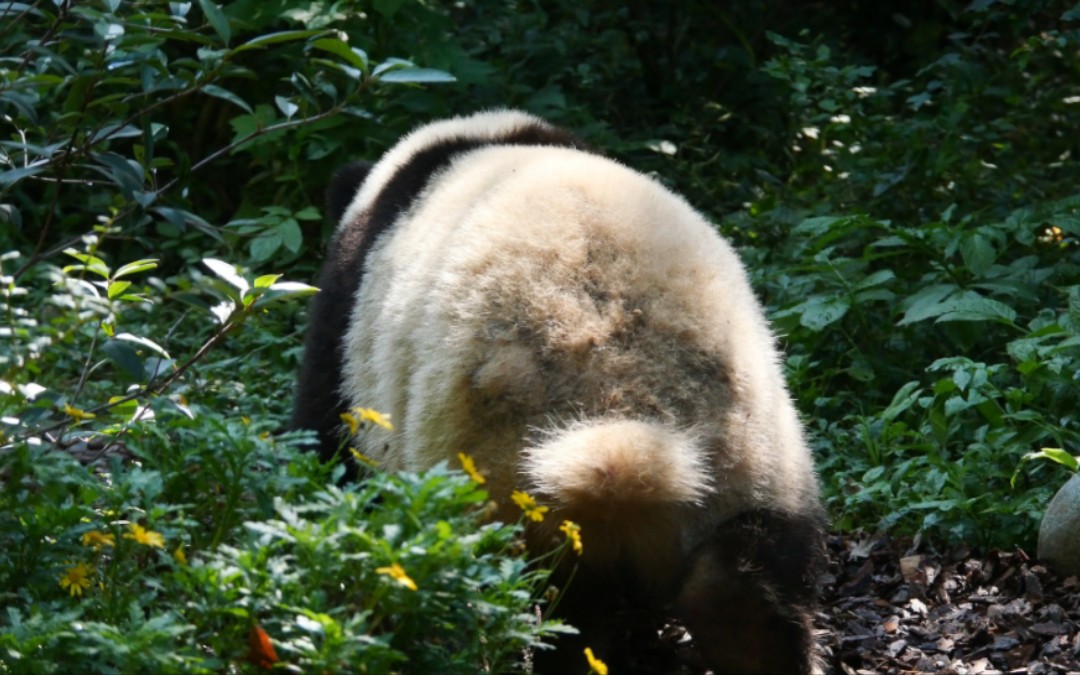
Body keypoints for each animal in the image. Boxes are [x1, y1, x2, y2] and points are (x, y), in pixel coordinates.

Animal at [291, 108, 820, 669]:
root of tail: (623, 407)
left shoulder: (347, 318)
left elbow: (326, 439)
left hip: (499, 492)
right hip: (752, 466)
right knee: (740, 589)